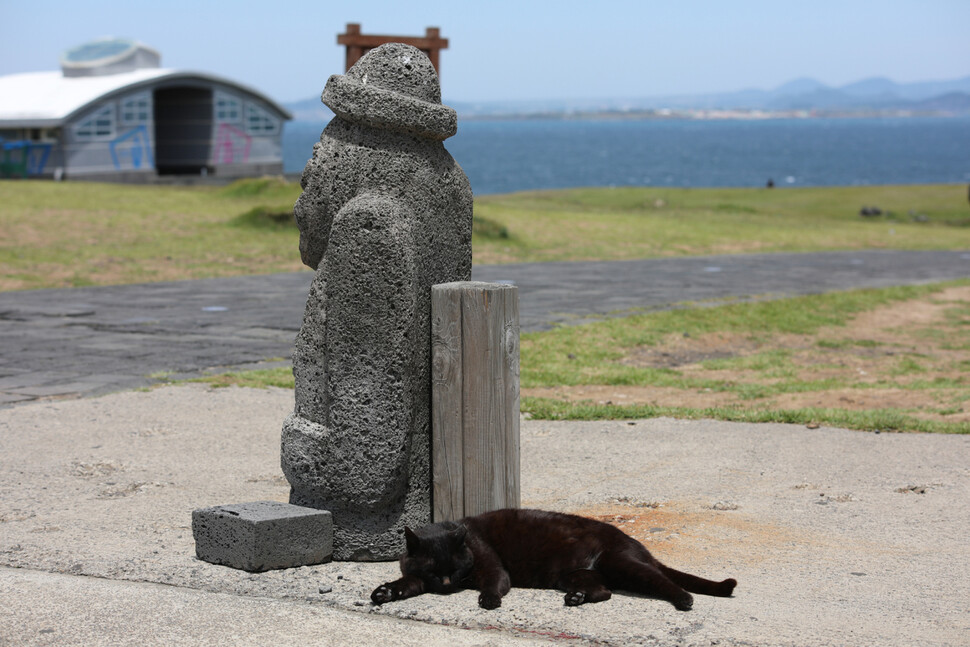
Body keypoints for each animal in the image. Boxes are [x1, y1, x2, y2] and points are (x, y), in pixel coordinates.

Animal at [370, 508, 732, 612]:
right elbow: (407, 583)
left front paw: (488, 601)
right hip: (573, 575)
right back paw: (576, 599)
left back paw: (684, 600)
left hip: (621, 564)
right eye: (435, 570)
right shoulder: (417, 575)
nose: (446, 585)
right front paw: (385, 592)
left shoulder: (493, 567)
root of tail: (635, 543)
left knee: (662, 580)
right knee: (603, 591)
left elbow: (493, 584)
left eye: (456, 568)